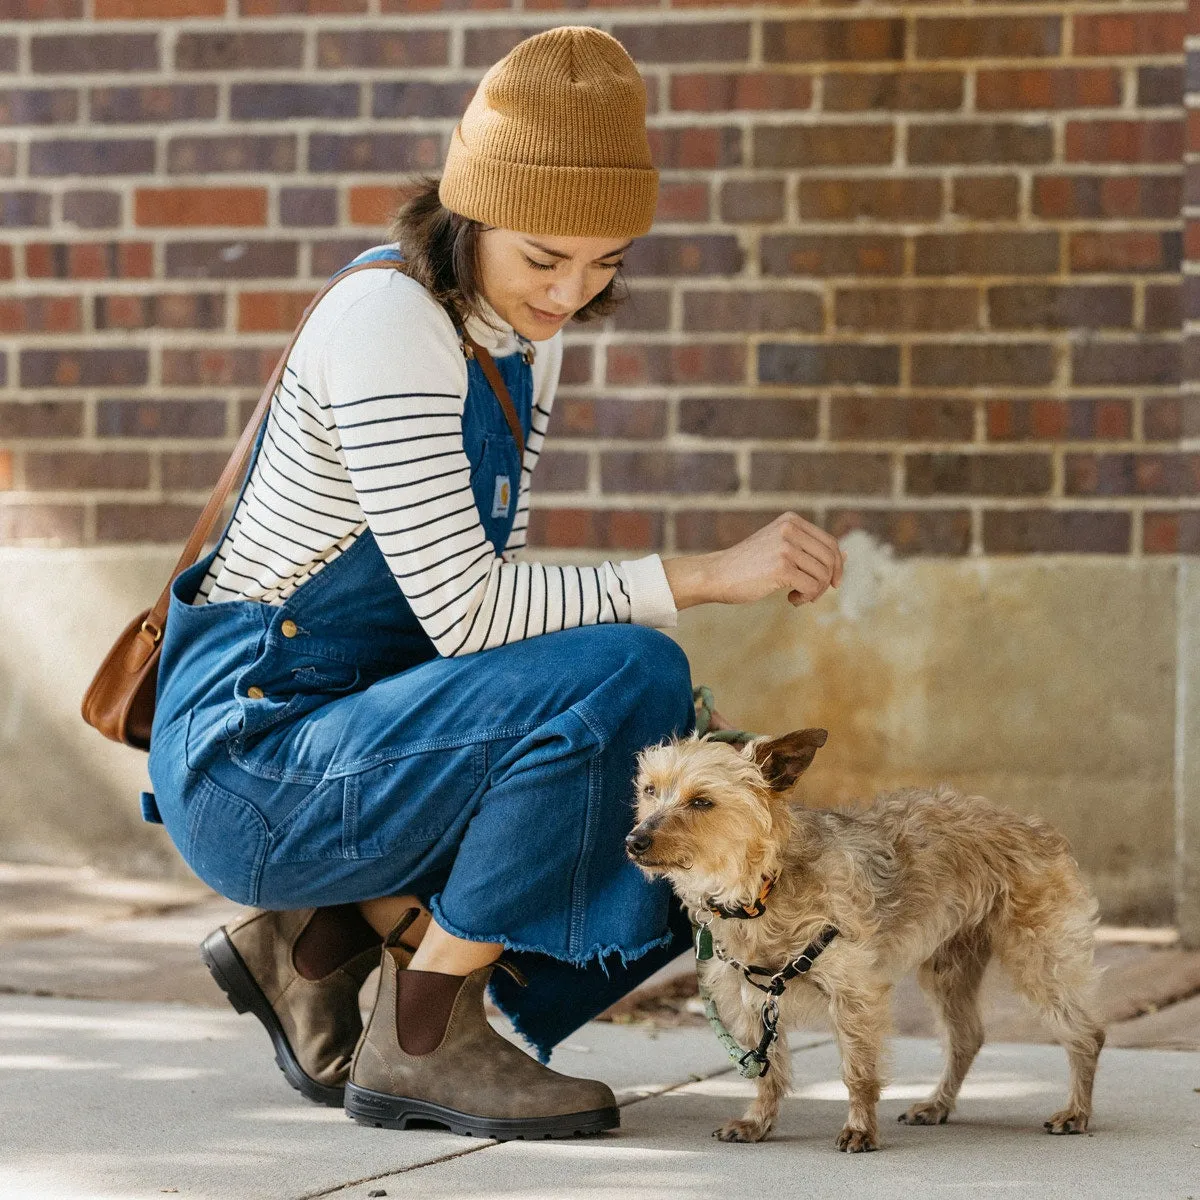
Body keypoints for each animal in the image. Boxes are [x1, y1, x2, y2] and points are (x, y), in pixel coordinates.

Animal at [628, 729, 1104, 1152]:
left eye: (702, 802)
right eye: (650, 790)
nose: (634, 840)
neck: (762, 888)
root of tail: (1035, 827)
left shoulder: (853, 994)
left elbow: (858, 1071)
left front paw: (860, 1130)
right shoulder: (753, 1000)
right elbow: (767, 1069)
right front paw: (757, 1122)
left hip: (1037, 959)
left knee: (1088, 1034)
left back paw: (1076, 1113)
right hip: (948, 970)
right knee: (967, 1038)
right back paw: (937, 1105)